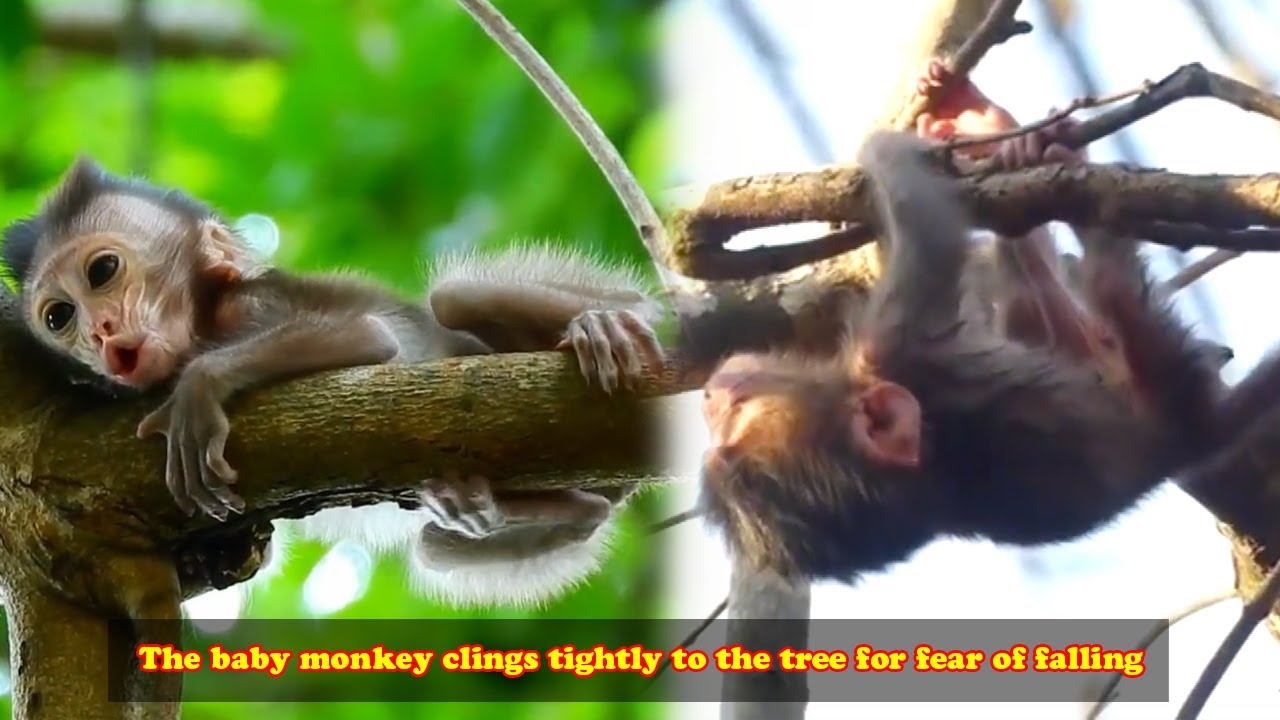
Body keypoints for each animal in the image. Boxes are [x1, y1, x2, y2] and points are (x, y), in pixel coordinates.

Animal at [2, 157, 665, 607]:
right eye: (59, 317)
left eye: (103, 270)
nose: (100, 332)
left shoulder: (255, 308)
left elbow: (370, 338)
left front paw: (198, 387)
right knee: (482, 535)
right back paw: (502, 505)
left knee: (454, 297)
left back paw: (609, 323)